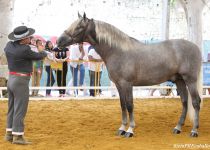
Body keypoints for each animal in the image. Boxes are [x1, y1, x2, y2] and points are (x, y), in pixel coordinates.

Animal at [57, 13, 202, 138]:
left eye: (79, 27)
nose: (58, 42)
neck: (117, 51)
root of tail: (196, 47)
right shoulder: (119, 85)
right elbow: (122, 105)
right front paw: (122, 128)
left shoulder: (127, 84)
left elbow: (130, 105)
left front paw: (130, 130)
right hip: (179, 80)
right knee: (184, 102)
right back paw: (178, 127)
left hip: (190, 80)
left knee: (196, 102)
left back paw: (194, 130)